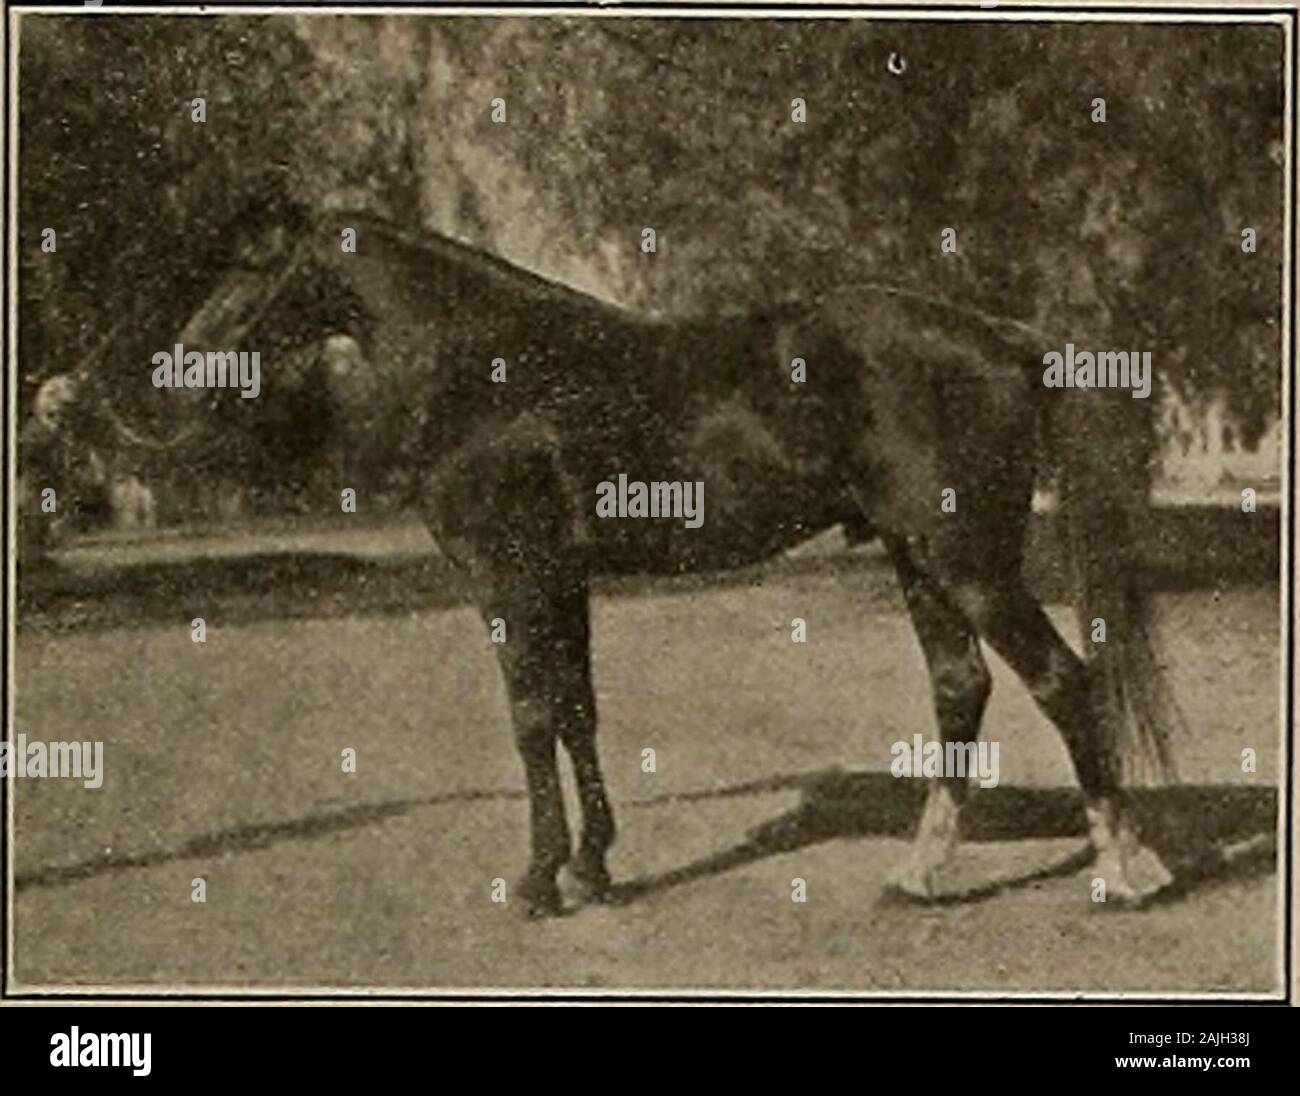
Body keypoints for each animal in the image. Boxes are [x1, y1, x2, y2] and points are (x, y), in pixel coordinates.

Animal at [170, 205, 1180, 915]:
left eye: (253, 265)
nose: (181, 366)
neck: (494, 369)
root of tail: (1006, 338)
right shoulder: (562, 579)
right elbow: (577, 712)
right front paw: (593, 868)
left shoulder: (507, 577)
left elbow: (530, 718)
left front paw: (537, 881)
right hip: (918, 557)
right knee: (961, 687)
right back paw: (919, 874)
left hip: (968, 559)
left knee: (1063, 681)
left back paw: (1127, 871)